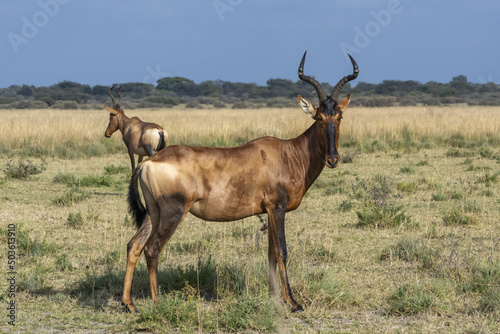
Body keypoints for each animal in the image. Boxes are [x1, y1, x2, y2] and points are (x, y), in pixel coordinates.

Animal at [123, 52, 358, 314]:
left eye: (339, 116)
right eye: (319, 117)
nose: (333, 159)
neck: (289, 153)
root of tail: (148, 162)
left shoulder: (269, 211)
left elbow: (271, 253)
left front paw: (274, 297)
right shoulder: (277, 208)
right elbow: (282, 251)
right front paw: (293, 302)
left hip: (153, 212)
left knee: (134, 245)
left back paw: (129, 304)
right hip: (173, 212)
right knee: (152, 249)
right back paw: (157, 303)